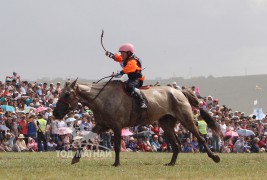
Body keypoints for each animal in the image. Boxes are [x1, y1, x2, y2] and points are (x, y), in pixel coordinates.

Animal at [52, 79, 222, 167]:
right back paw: (171, 163)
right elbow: (85, 140)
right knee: (177, 145)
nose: (55, 113)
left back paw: (214, 157)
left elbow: (116, 146)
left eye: (67, 94)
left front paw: (116, 163)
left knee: (200, 137)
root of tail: (179, 91)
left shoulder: (116, 127)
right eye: (60, 93)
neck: (102, 99)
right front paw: (75, 158)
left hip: (186, 119)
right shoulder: (101, 125)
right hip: (166, 124)